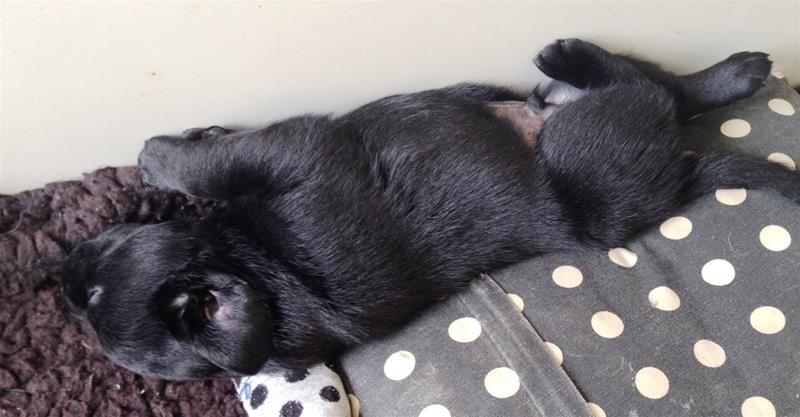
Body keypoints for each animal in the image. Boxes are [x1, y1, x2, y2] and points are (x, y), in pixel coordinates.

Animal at [62, 39, 799, 380]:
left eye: (100, 276)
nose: (66, 277)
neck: (265, 273)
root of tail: (681, 168)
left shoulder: (290, 148)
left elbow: (209, 161)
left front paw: (162, 151)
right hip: (592, 149)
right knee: (655, 89)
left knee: (662, 82)